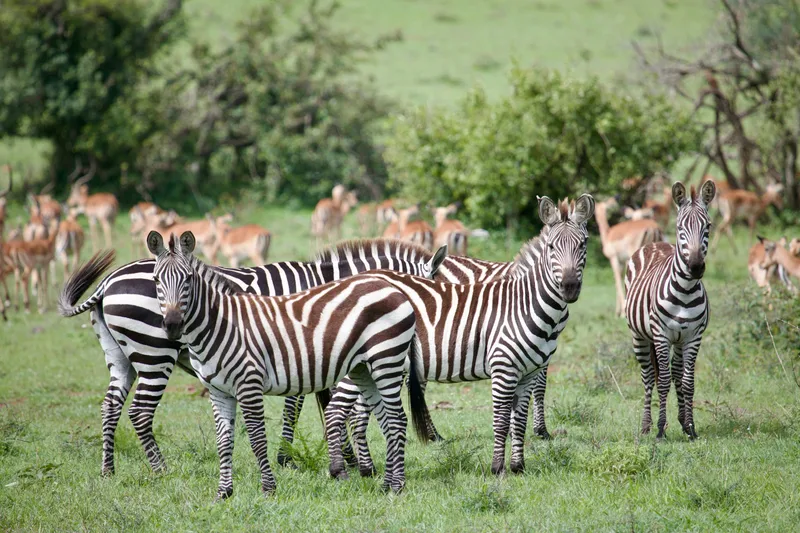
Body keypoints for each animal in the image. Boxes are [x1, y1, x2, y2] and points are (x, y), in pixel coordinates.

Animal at [57, 238, 446, 477]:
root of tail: (109, 281)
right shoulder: (300, 349)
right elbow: (300, 406)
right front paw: (288, 458)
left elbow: (324, 403)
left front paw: (343, 458)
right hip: (154, 351)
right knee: (139, 411)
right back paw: (161, 470)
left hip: (121, 356)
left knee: (110, 407)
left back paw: (108, 470)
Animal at [145, 230, 429, 497]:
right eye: (156, 280)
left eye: (188, 279)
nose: (172, 325)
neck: (220, 324)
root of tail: (394, 289)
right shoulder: (218, 391)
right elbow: (223, 442)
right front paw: (224, 493)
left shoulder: (249, 385)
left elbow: (258, 438)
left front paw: (268, 488)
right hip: (364, 370)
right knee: (387, 421)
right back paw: (387, 484)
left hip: (386, 361)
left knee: (397, 419)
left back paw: (397, 486)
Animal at [326, 194, 594, 476]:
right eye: (551, 247)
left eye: (584, 244)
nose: (569, 288)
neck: (525, 303)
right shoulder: (504, 367)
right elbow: (501, 419)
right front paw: (498, 468)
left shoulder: (530, 370)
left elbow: (520, 418)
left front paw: (518, 466)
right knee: (338, 410)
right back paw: (341, 469)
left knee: (356, 412)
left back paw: (367, 469)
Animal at [624, 180, 716, 440]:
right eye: (680, 227)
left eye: (708, 226)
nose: (695, 267)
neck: (685, 290)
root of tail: (654, 242)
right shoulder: (661, 335)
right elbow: (663, 380)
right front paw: (660, 430)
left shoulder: (694, 336)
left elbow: (687, 381)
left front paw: (691, 428)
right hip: (640, 336)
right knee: (648, 377)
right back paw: (646, 425)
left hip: (679, 340)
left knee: (676, 373)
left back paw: (682, 421)